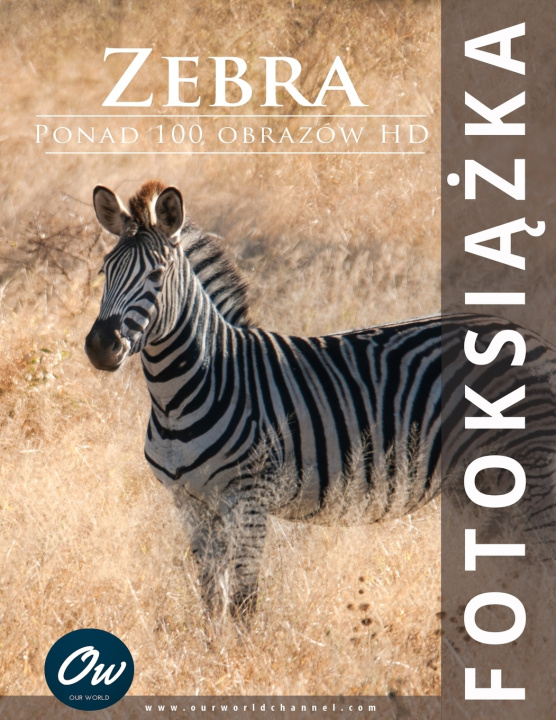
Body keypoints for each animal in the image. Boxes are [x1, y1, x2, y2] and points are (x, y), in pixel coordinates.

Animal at [85, 180, 556, 616]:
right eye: (105, 271)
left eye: (157, 275)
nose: (100, 346)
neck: (181, 395)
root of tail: (530, 335)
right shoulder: (190, 503)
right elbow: (211, 599)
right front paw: (212, 651)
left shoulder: (249, 498)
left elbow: (242, 601)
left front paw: (242, 655)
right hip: (481, 482)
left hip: (530, 467)